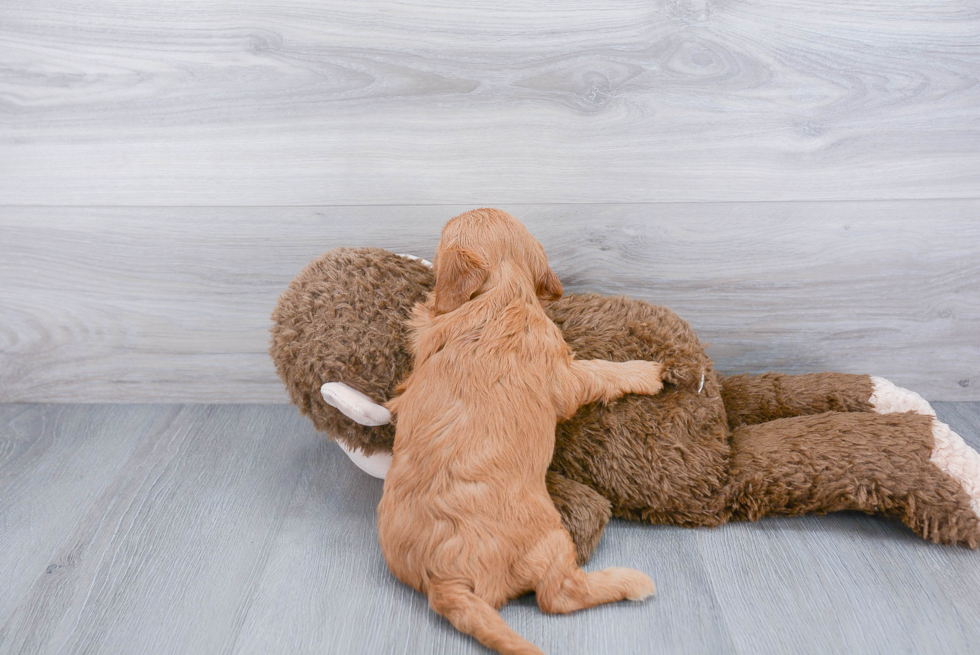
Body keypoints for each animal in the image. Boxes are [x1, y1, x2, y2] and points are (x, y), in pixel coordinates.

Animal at [378, 210, 664, 655]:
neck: (499, 297)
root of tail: (444, 581)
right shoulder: (564, 376)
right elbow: (598, 372)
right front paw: (644, 372)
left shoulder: (427, 331)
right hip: (551, 538)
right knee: (559, 595)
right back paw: (630, 582)